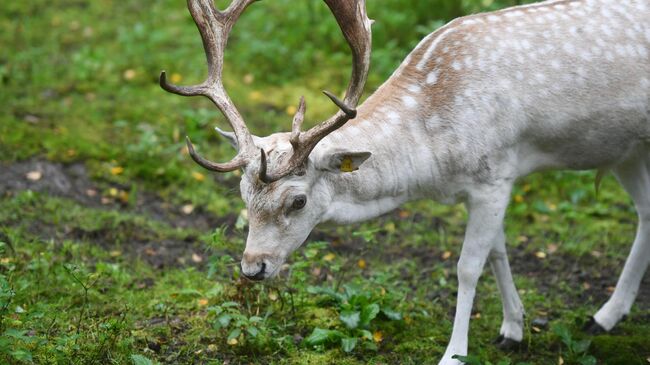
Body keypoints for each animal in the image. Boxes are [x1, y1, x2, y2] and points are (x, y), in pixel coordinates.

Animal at [158, 0, 648, 362]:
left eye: (297, 201)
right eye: (243, 193)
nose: (252, 268)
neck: (436, 163)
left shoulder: (494, 174)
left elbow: (468, 266)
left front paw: (454, 354)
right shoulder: (487, 184)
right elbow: (498, 252)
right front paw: (513, 329)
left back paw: (605, 314)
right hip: (627, 150)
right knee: (646, 212)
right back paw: (604, 317)